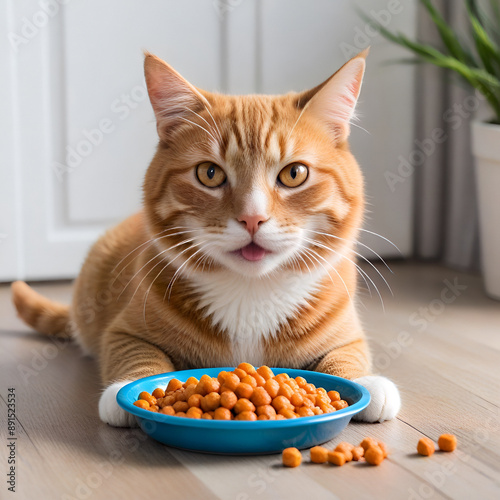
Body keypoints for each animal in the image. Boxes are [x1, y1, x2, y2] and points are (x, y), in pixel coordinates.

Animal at [11, 49, 400, 426]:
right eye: (209, 173)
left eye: (294, 174)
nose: (252, 218)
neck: (250, 294)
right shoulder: (126, 330)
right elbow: (136, 354)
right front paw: (126, 393)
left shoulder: (347, 332)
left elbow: (346, 356)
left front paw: (367, 384)